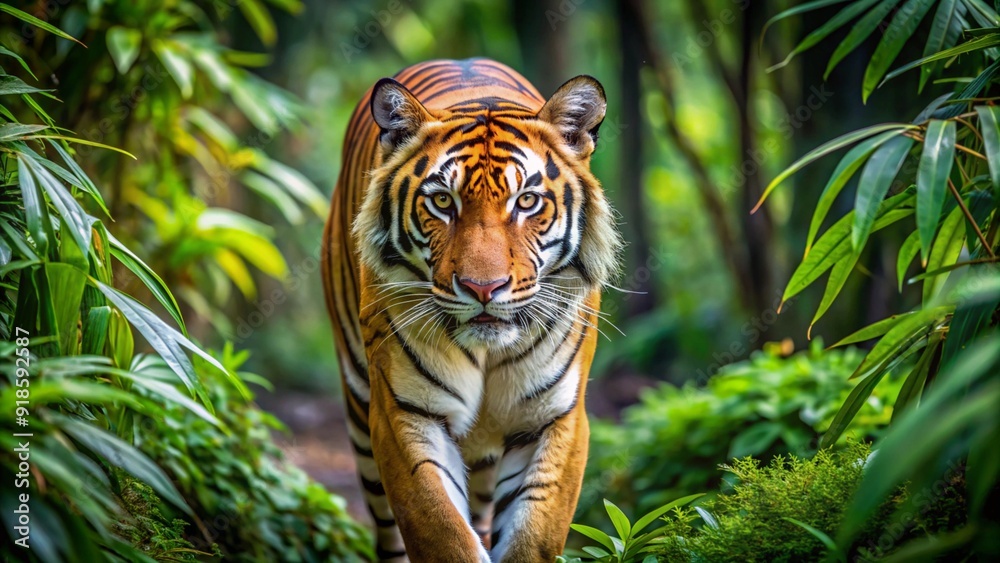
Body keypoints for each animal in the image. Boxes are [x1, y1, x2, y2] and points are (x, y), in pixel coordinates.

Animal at [321, 58, 622, 562]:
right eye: (443, 201)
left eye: (527, 201)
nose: (484, 288)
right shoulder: (405, 413)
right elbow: (441, 530)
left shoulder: (554, 419)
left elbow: (532, 536)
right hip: (361, 411)